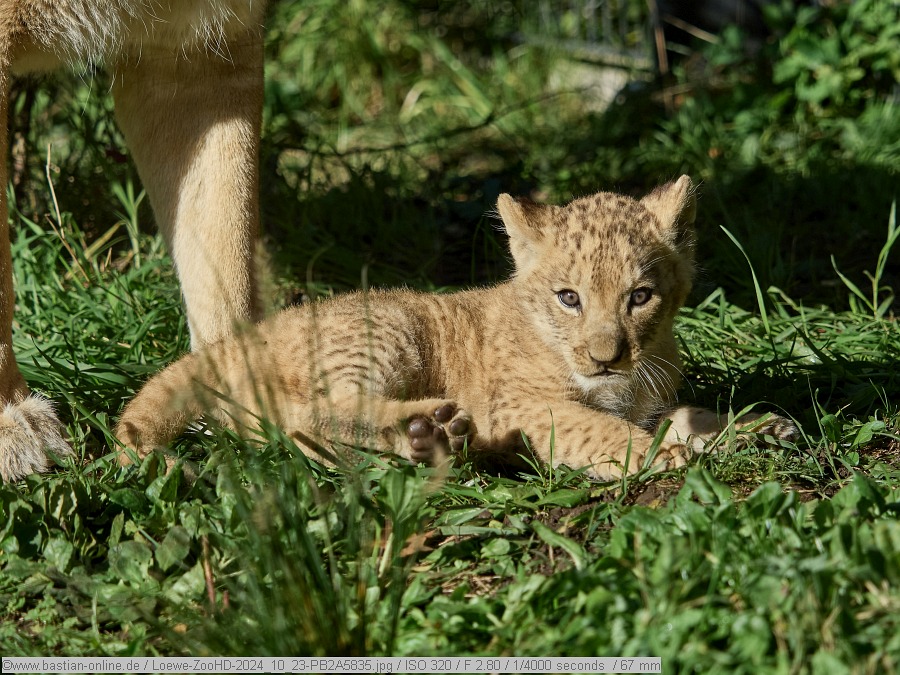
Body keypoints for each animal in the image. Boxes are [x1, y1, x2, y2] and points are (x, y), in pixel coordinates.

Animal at [116, 176, 798, 480]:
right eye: (569, 298)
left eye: (640, 297)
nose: (605, 356)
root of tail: (244, 335)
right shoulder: (521, 405)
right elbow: (596, 429)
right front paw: (662, 456)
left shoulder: (647, 396)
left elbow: (688, 413)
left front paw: (758, 428)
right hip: (385, 330)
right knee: (307, 421)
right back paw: (430, 429)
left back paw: (434, 441)